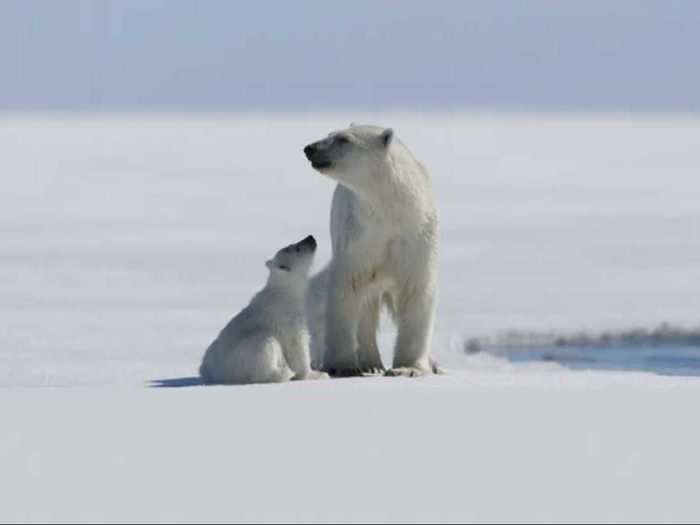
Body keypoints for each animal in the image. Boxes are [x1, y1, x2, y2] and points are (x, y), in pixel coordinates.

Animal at [197, 235, 328, 382]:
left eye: (293, 244)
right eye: (297, 248)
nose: (310, 237)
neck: (285, 291)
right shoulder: (288, 317)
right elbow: (297, 344)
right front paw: (315, 374)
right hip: (245, 352)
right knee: (266, 345)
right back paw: (283, 373)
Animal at [304, 123, 440, 376]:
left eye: (344, 139)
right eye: (329, 134)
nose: (310, 148)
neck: (389, 211)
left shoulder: (416, 237)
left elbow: (415, 291)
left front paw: (407, 367)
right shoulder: (360, 239)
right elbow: (348, 287)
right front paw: (342, 366)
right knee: (366, 304)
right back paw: (371, 363)